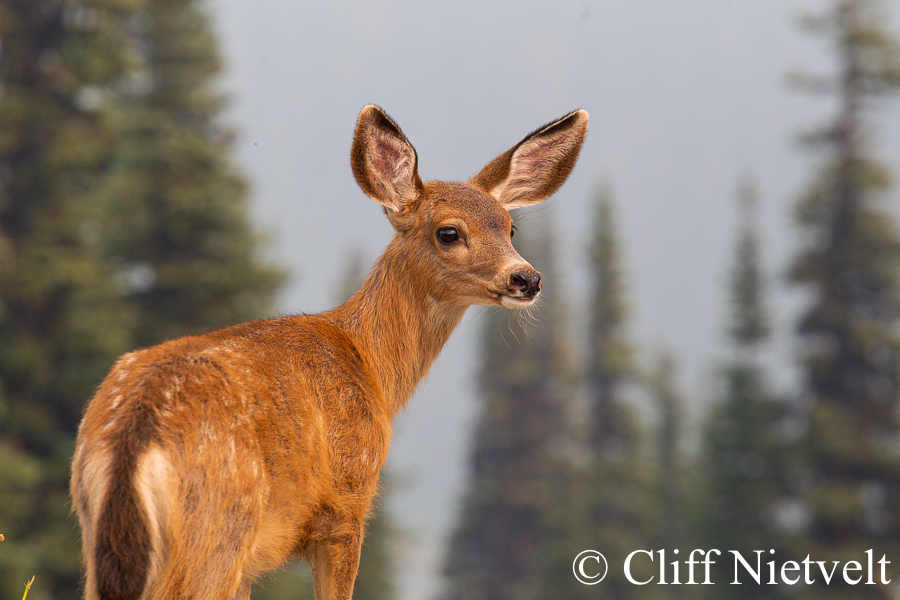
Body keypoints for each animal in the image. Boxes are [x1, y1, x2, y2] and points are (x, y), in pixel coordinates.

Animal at [70, 105, 588, 600]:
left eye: (511, 228)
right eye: (448, 232)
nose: (526, 278)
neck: (370, 367)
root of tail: (136, 437)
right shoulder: (346, 504)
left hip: (103, 542)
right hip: (218, 532)